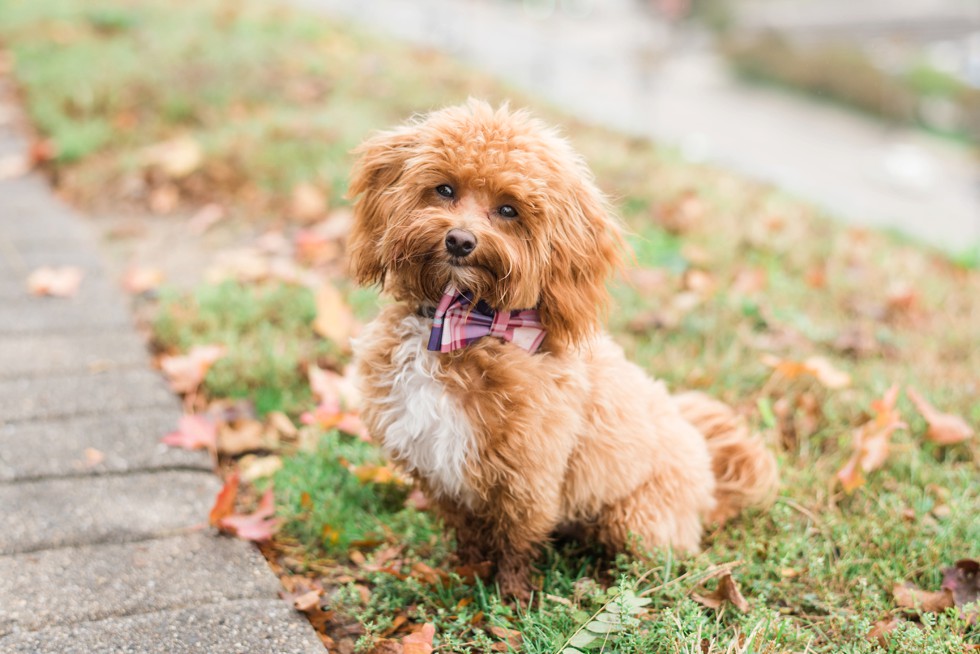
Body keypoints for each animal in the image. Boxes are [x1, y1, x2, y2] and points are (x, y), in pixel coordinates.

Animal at [348, 100, 776, 604]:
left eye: (508, 209)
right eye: (444, 189)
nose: (459, 240)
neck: (462, 325)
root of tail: (710, 486)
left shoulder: (528, 476)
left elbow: (516, 540)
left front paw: (513, 599)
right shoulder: (440, 469)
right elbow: (468, 532)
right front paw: (465, 573)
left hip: (636, 518)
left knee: (654, 563)